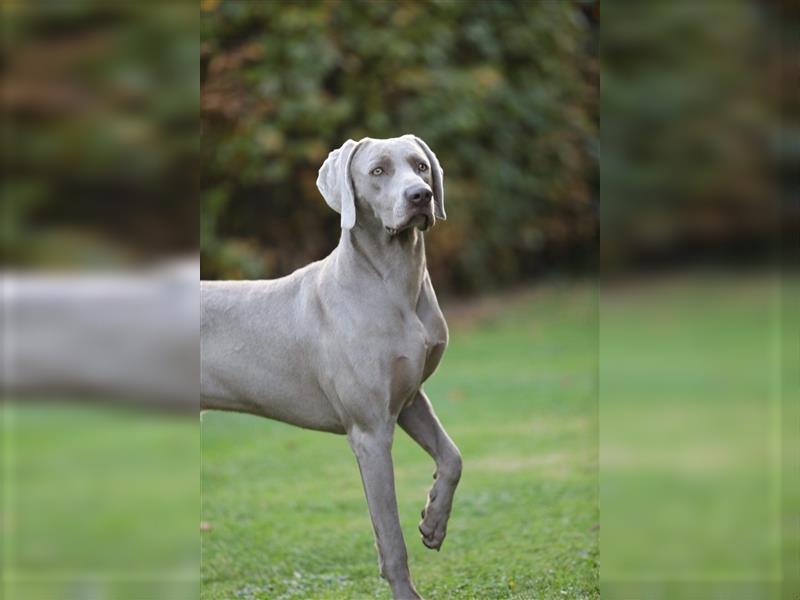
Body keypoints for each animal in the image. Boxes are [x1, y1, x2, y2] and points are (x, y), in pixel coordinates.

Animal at [200, 136, 462, 600]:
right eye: (378, 171)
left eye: (420, 166)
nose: (421, 196)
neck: (393, 282)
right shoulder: (370, 432)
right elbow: (390, 536)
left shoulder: (409, 398)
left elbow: (453, 457)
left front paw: (433, 522)